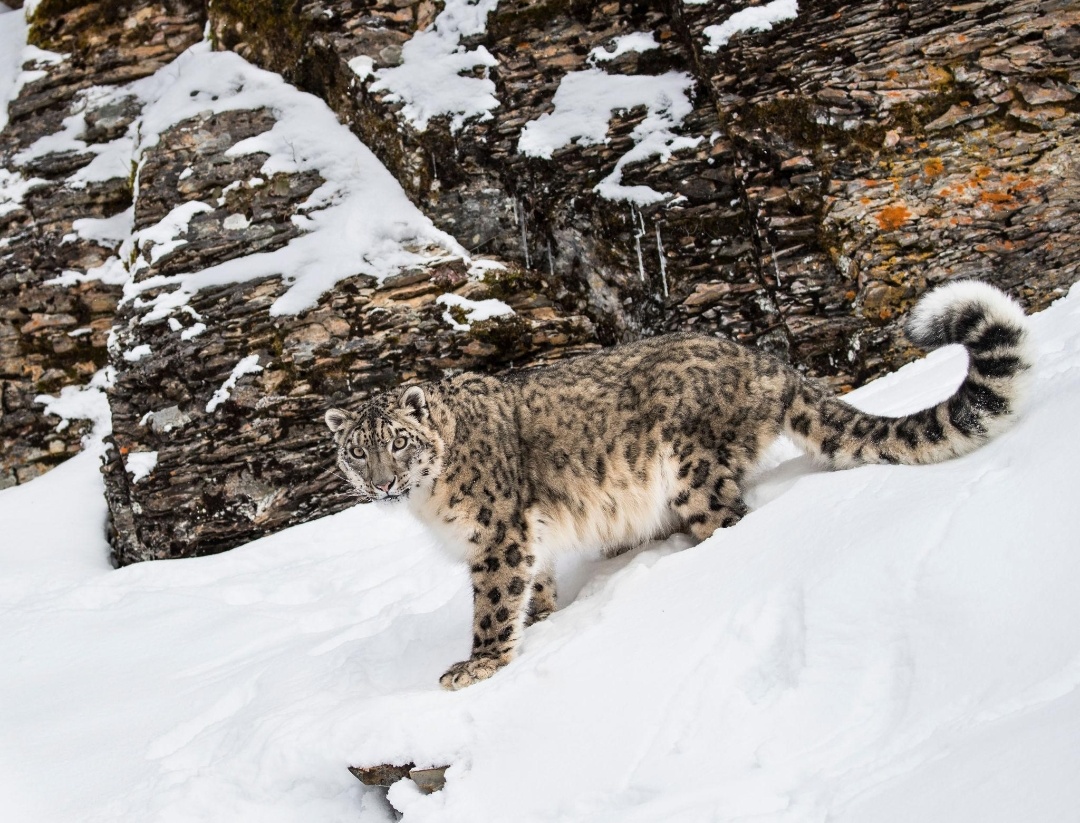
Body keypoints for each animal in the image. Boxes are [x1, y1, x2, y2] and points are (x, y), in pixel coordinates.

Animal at [325, 281, 1032, 690]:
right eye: (357, 453)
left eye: (397, 442)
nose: (383, 484)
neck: (430, 503)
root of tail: (764, 360)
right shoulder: (527, 537)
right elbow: (538, 584)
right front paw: (545, 617)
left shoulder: (497, 536)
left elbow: (494, 604)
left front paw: (477, 665)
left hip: (694, 472)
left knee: (730, 518)